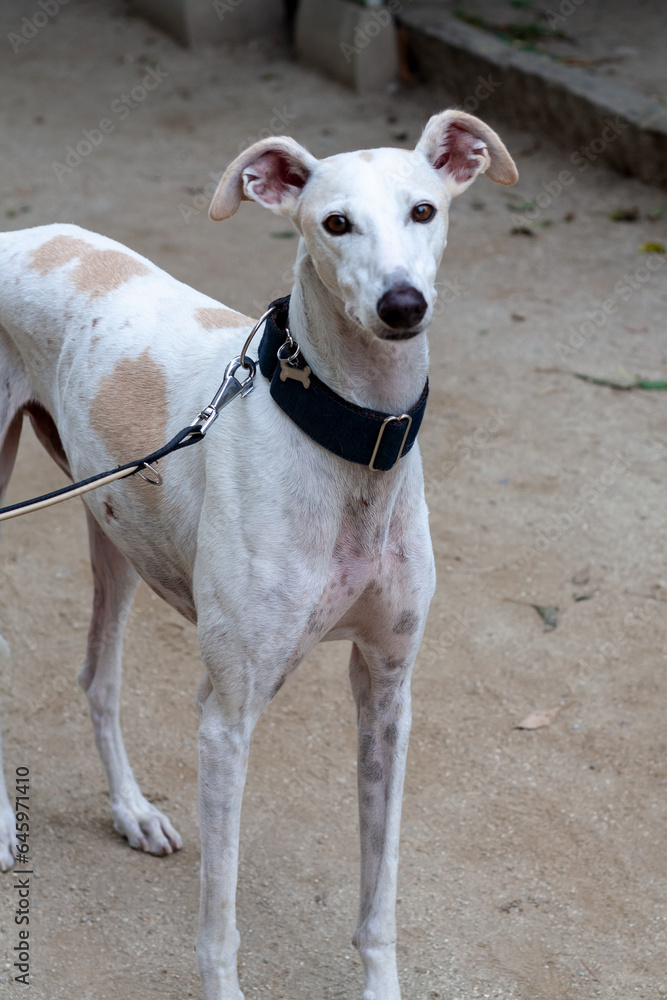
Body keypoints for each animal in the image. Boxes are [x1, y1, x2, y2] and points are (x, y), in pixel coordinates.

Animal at [0, 111, 516, 1000]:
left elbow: (378, 896)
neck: (350, 445)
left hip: (114, 527)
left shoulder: (387, 691)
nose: (401, 305)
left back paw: (132, 811)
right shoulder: (227, 717)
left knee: (98, 677)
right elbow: (219, 922)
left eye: (423, 210)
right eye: (333, 223)